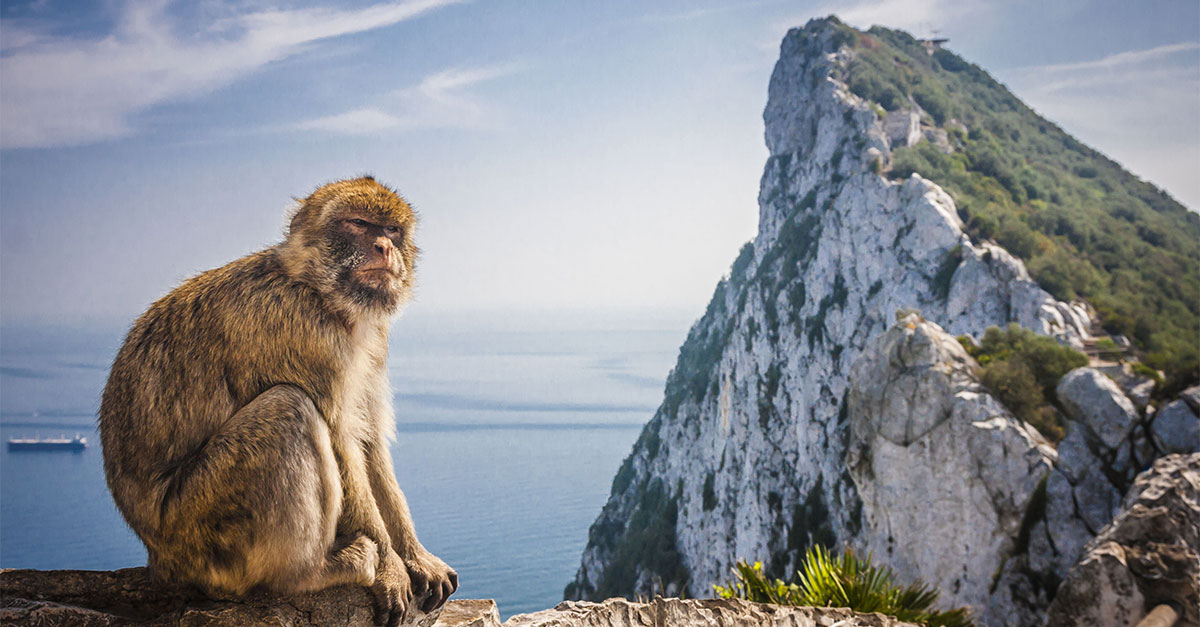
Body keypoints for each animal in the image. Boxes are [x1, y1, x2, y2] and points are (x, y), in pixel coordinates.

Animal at [97, 175, 453, 624]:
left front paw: (417, 557)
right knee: (289, 407)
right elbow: (341, 440)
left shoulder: (373, 342)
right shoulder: (304, 330)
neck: (317, 291)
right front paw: (391, 569)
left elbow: (369, 441)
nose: (384, 248)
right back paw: (312, 572)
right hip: (198, 528)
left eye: (391, 230)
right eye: (358, 223)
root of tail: (158, 559)